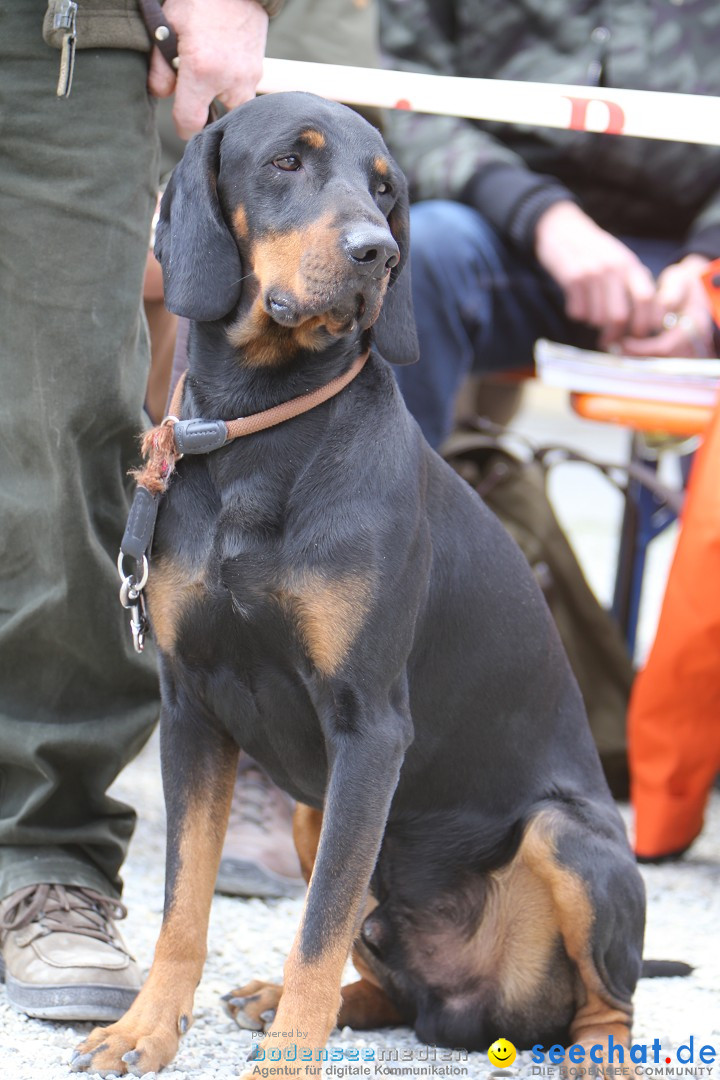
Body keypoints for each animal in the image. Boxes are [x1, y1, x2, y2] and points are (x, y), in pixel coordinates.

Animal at [73, 92, 647, 1080]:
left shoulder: (370, 727)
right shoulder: (192, 712)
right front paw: (145, 1029)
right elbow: (185, 904)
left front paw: (287, 1058)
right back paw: (295, 1000)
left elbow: (322, 924)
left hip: (564, 838)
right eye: (286, 163)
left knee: (606, 1003)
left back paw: (594, 1051)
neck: (258, 432)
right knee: (385, 975)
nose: (376, 252)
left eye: (386, 191)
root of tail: (478, 1009)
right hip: (315, 806)